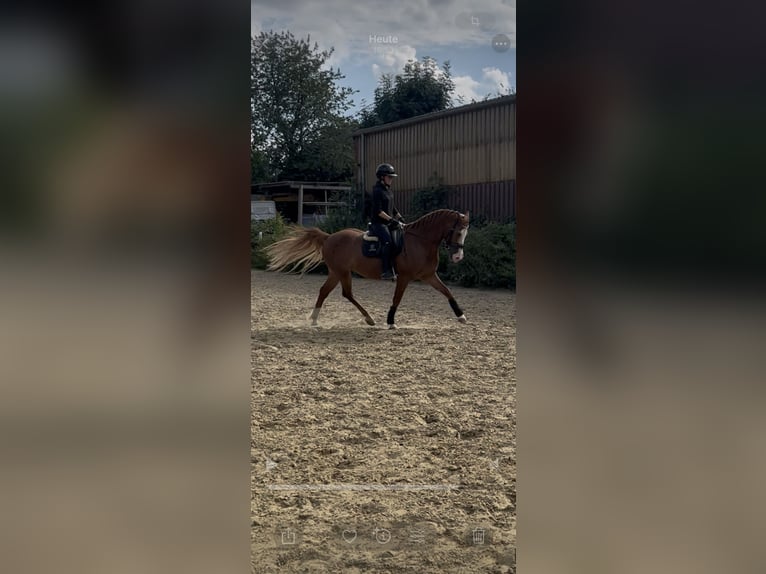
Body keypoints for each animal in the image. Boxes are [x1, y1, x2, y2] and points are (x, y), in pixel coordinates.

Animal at [264, 209, 470, 329]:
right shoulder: (404, 277)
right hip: (342, 272)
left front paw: (461, 316)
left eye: (465, 232)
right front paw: (391, 321)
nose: (458, 257)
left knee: (325, 291)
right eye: (458, 231)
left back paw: (315, 319)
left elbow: (447, 291)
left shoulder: (429, 275)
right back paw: (369, 318)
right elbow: (397, 298)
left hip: (335, 272)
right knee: (346, 293)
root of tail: (329, 237)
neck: (420, 241)